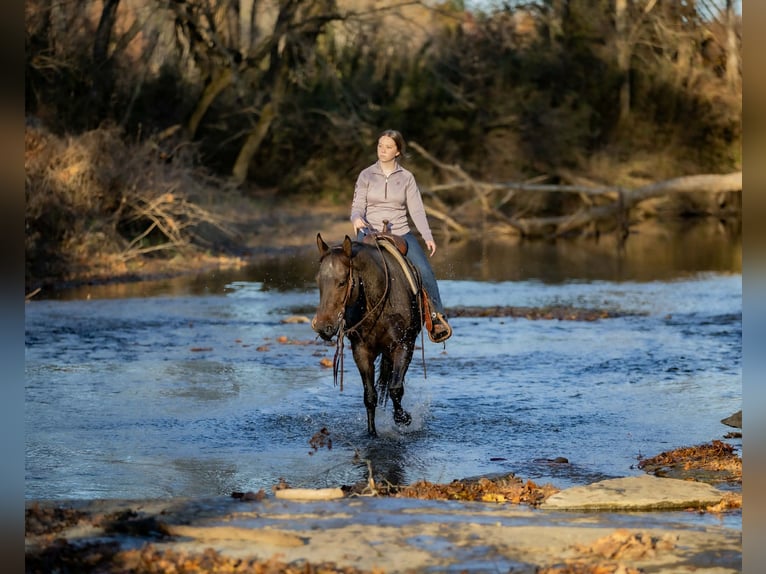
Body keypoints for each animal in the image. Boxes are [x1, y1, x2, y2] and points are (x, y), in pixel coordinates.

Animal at [311, 233, 423, 437]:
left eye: (342, 282)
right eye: (318, 280)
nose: (323, 327)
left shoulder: (404, 346)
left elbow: (396, 389)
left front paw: (404, 419)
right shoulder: (361, 352)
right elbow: (370, 396)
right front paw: (372, 433)